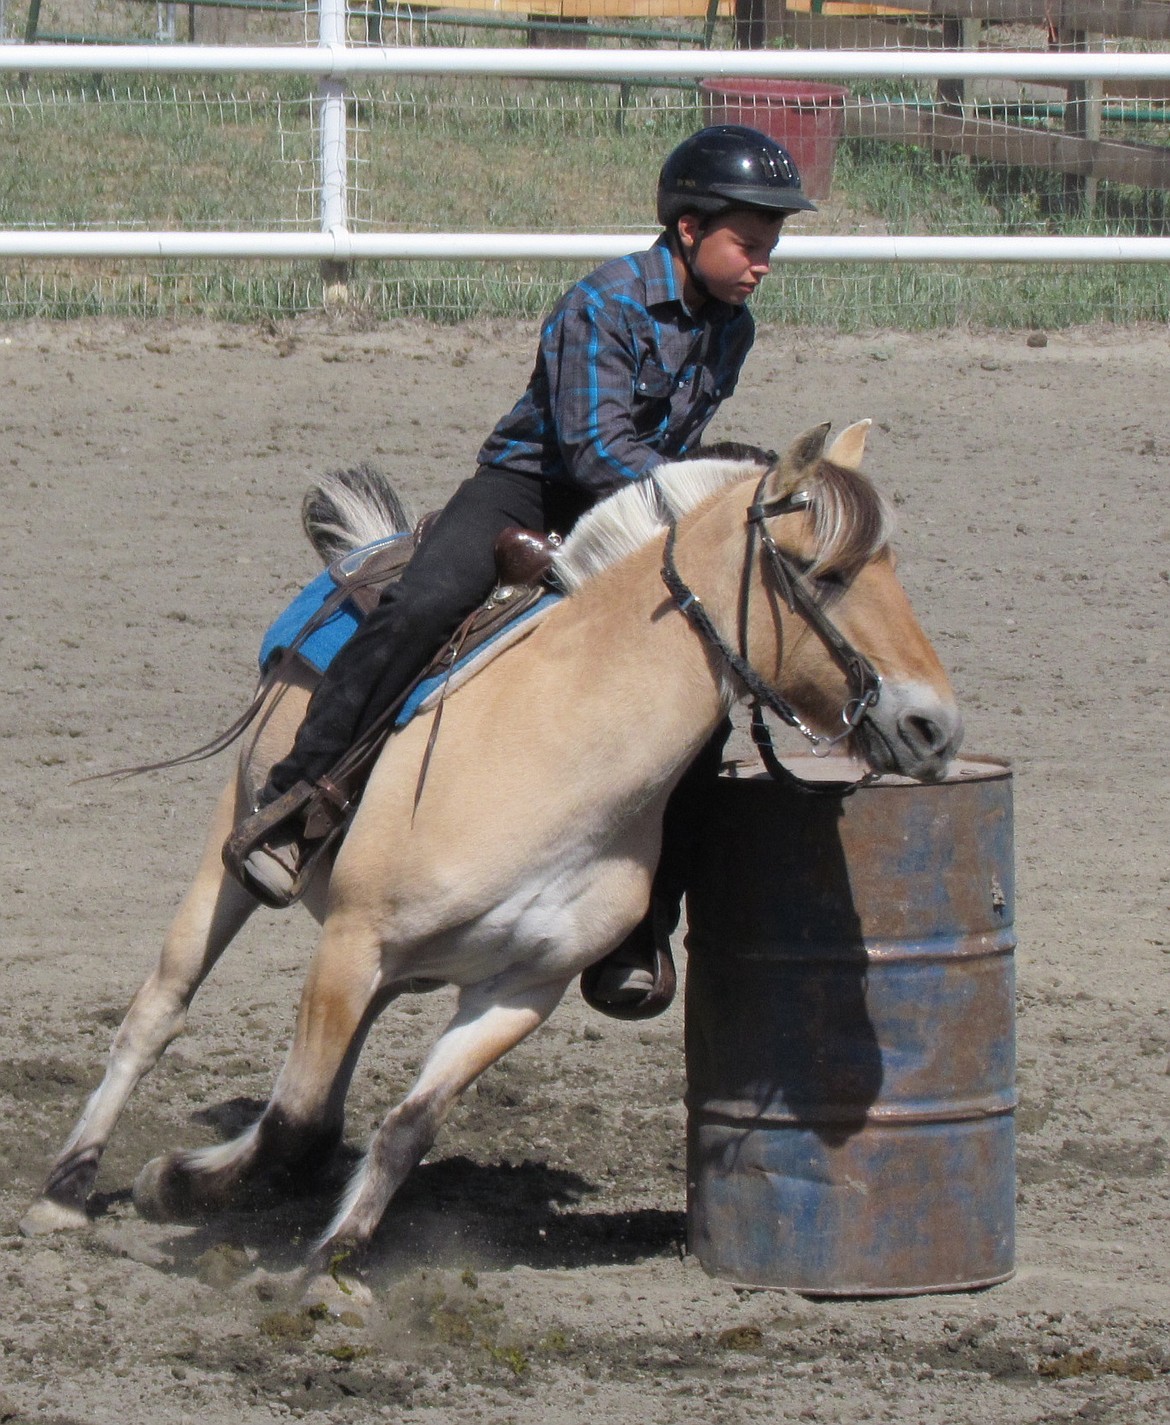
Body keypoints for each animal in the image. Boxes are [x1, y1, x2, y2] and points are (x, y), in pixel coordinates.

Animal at [22, 416, 963, 1288]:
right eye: (819, 571)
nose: (935, 727)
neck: (561, 745)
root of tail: (369, 552)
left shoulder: (521, 987)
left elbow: (404, 1126)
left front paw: (327, 1264)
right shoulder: (355, 940)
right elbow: (291, 1115)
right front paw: (174, 1185)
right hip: (241, 842)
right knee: (161, 1008)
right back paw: (66, 1187)